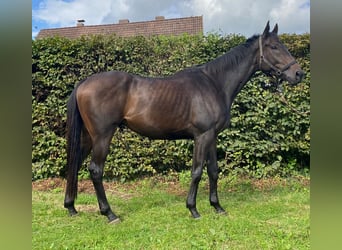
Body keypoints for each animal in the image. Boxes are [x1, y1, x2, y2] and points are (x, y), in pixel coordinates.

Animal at [64, 22, 304, 223]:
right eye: (274, 47)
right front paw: (193, 209)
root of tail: (83, 83)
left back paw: (71, 207)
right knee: (95, 170)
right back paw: (110, 214)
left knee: (74, 165)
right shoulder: (202, 136)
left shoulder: (212, 136)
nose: (298, 73)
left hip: (88, 137)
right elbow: (197, 171)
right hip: (103, 136)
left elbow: (213, 170)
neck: (214, 84)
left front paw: (217, 207)